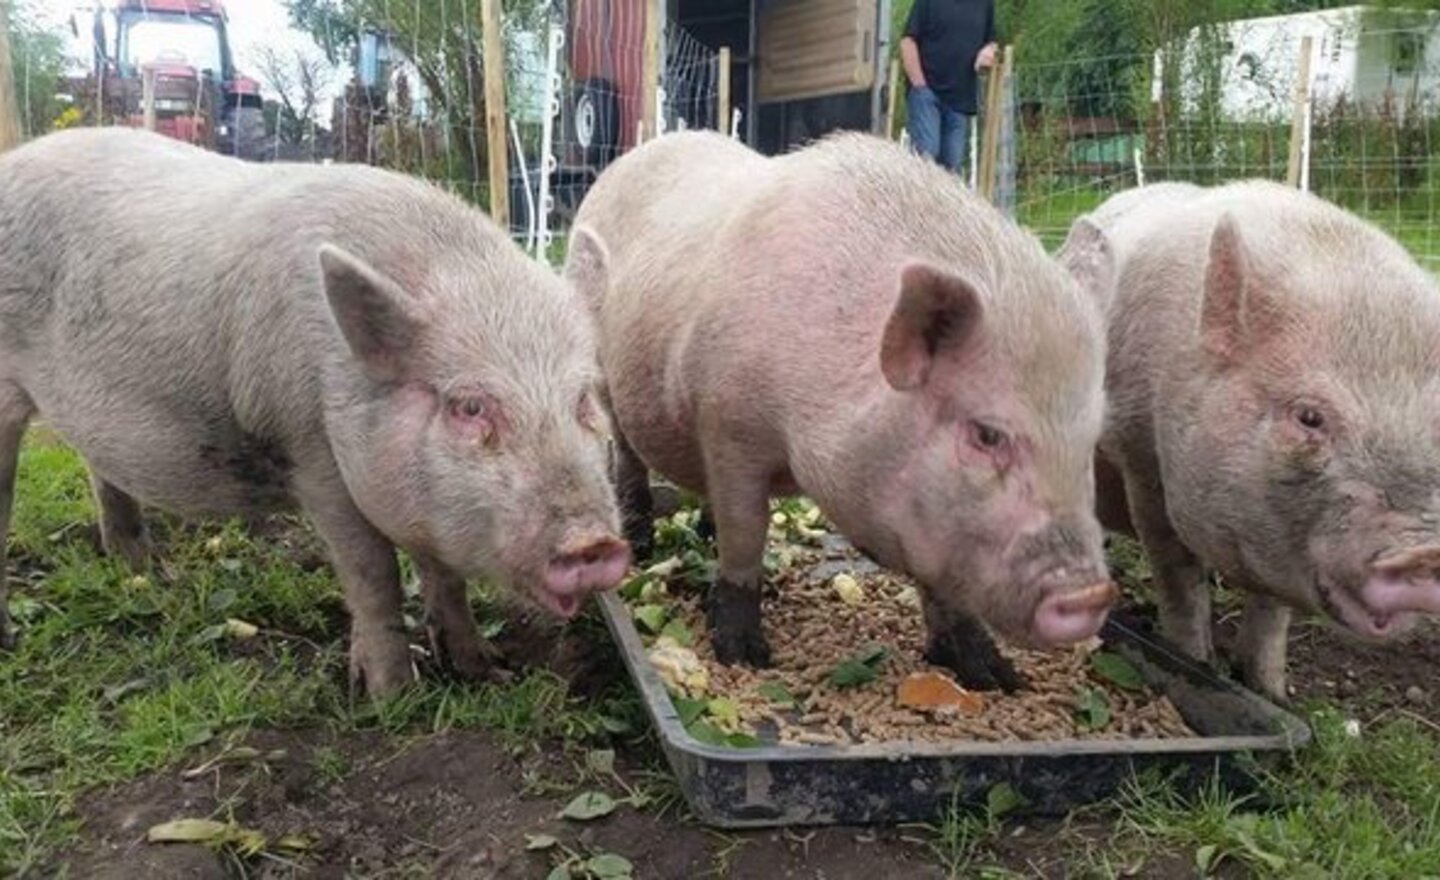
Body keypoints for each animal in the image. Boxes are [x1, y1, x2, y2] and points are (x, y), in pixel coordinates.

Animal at [0, 128, 630, 695]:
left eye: (583, 400)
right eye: (469, 406)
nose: (594, 543)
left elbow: (445, 578)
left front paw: (488, 670)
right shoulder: (313, 456)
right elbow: (373, 574)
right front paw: (393, 697)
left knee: (103, 473)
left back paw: (146, 573)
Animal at [564, 130, 1118, 691]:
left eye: (1089, 439)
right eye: (987, 434)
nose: (1090, 595)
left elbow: (945, 585)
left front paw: (997, 678)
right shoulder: (728, 423)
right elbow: (747, 533)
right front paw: (745, 656)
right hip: (609, 375)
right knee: (628, 453)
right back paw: (641, 539)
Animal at [1091, 178, 1440, 701]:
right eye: (1310, 417)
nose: (1426, 554)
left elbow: (1273, 612)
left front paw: (1271, 693)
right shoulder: (1139, 457)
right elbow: (1177, 575)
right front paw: (1197, 663)